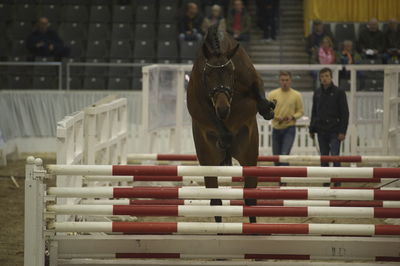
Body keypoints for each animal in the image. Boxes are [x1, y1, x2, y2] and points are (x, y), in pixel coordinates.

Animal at [187, 24, 276, 222]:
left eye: (230, 73)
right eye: (208, 74)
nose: (222, 109)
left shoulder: (251, 79)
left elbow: (257, 92)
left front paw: (268, 108)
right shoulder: (200, 104)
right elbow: (213, 119)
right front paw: (224, 138)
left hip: (249, 156)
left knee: (250, 199)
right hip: (209, 160)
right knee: (216, 201)